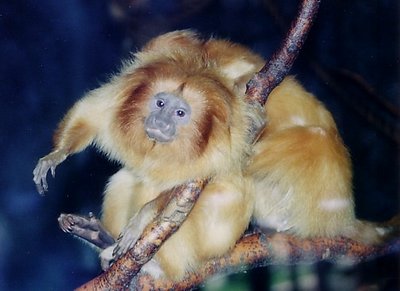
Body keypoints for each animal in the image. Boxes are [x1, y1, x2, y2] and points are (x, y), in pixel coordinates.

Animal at [33, 30, 396, 282]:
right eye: (159, 103)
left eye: (180, 113)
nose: (160, 123)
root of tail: (342, 215)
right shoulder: (128, 91)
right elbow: (92, 113)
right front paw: (55, 155)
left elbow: (205, 186)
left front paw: (141, 220)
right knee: (127, 178)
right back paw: (100, 236)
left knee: (306, 140)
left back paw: (154, 267)